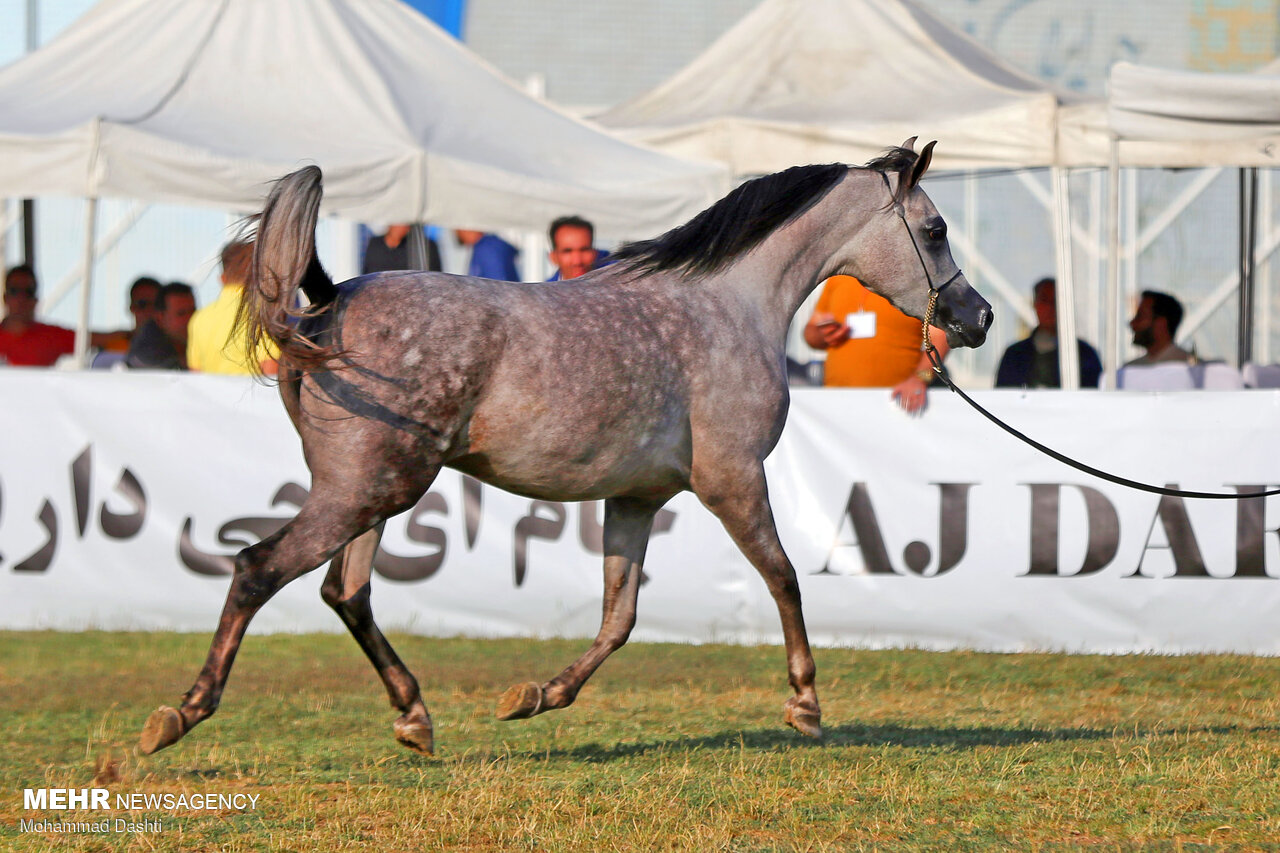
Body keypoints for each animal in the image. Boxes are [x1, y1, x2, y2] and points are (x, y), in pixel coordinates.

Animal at [145, 140, 993, 758]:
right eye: (935, 228)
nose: (977, 316)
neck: (726, 304)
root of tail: (327, 302)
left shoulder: (637, 497)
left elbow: (619, 616)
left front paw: (536, 695)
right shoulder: (732, 479)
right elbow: (783, 576)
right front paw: (805, 702)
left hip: (375, 492)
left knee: (344, 592)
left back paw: (415, 717)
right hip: (364, 491)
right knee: (259, 569)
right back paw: (179, 715)